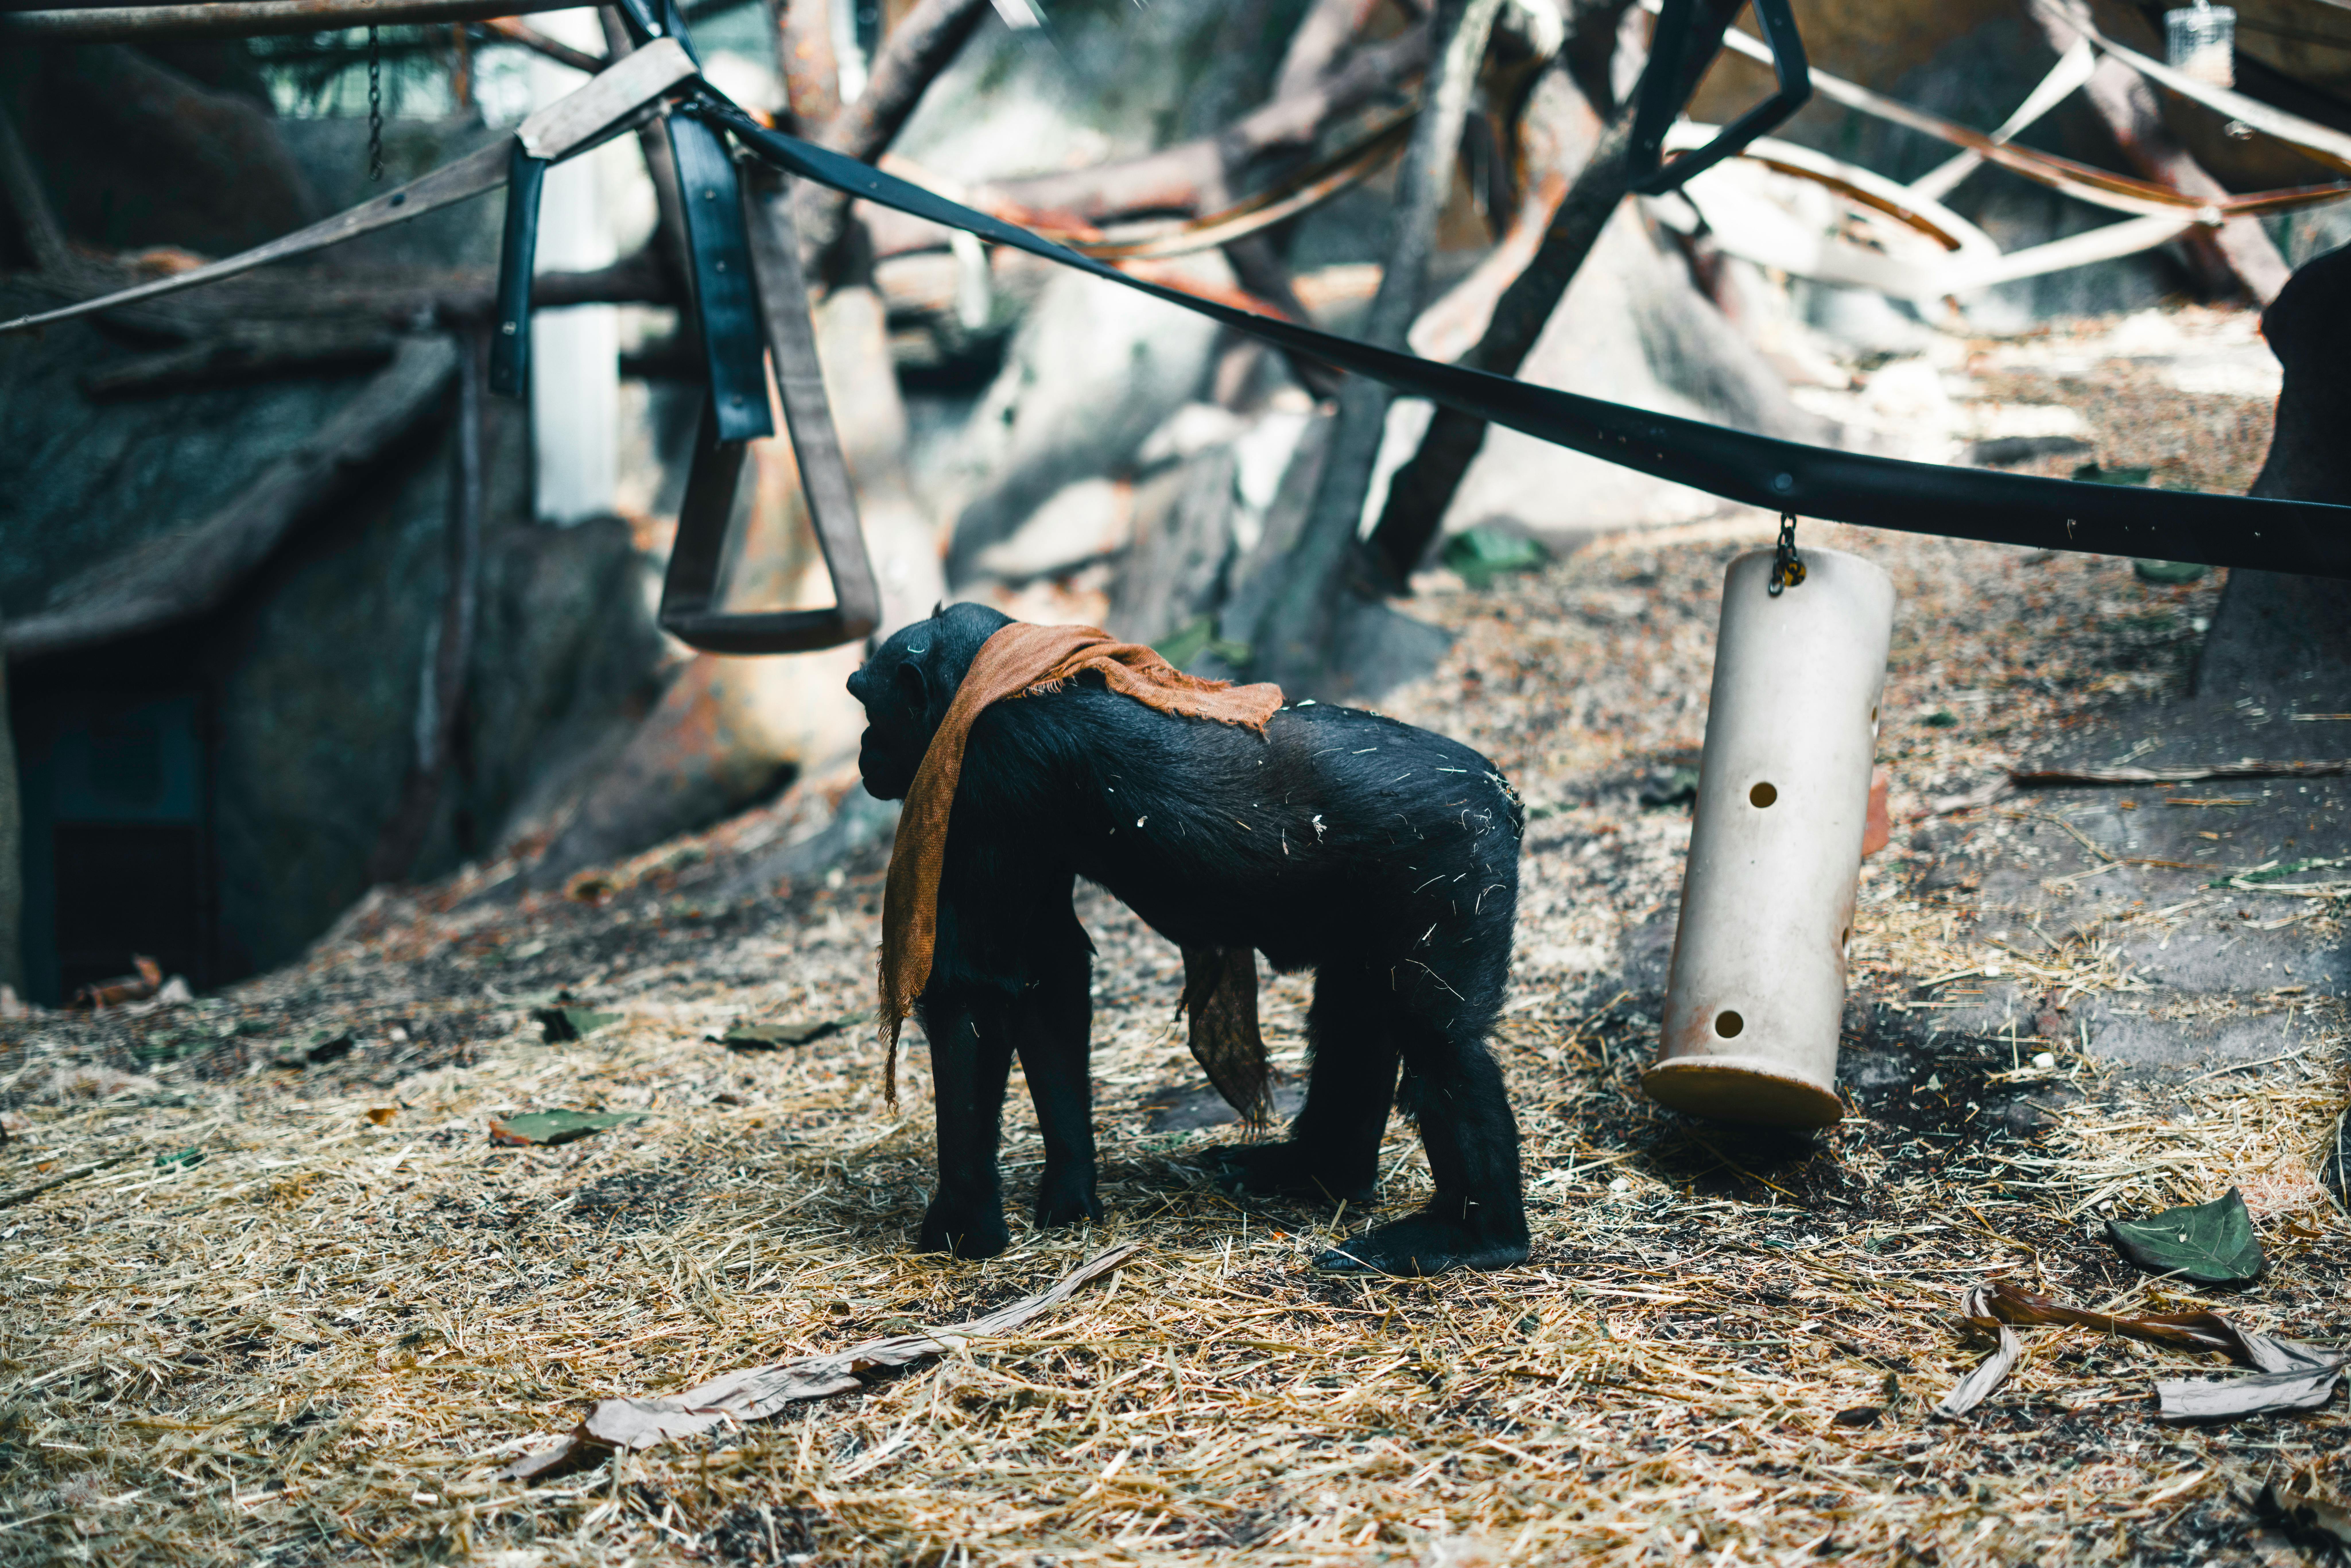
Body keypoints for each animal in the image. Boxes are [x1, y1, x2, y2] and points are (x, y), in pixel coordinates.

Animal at [846, 603, 1528, 1276]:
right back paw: (1318, 1171)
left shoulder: (989, 768)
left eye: (863, 701)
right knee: (1356, 1016)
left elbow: (977, 995)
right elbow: (1050, 974)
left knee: (1439, 1041)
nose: (862, 748)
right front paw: (1070, 1191)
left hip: (1455, 863)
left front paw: (962, 1223)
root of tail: (1501, 790)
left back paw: (1476, 1233)